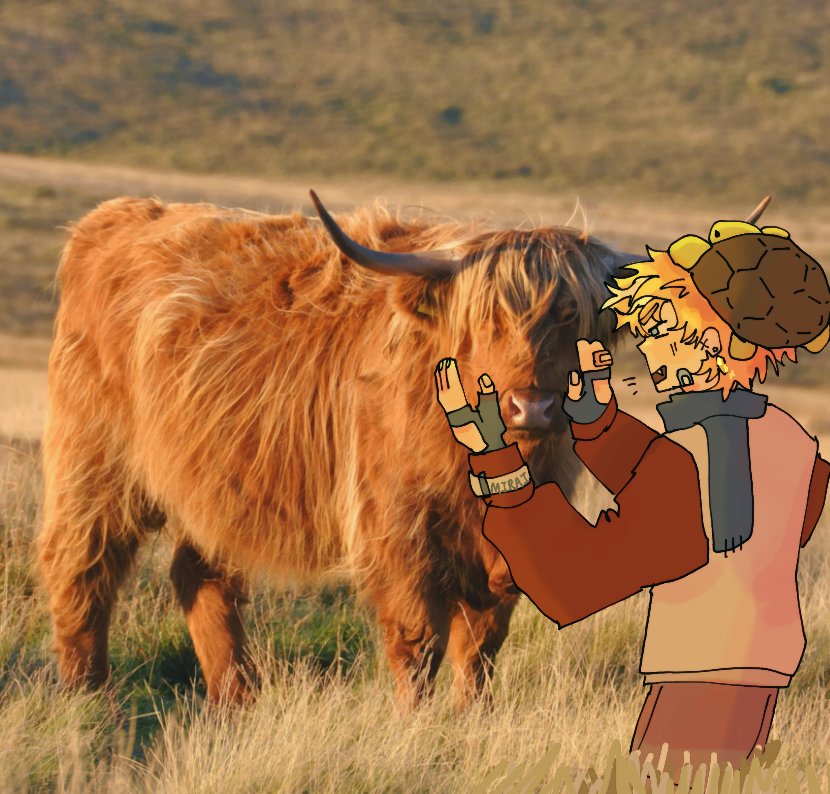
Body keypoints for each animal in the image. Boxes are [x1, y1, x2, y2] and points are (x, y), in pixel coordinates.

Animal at [37, 192, 629, 708]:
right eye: (485, 322)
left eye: (573, 318)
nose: (532, 406)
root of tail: (115, 216)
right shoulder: (395, 531)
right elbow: (419, 641)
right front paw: (414, 725)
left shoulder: (505, 553)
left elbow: (480, 645)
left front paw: (471, 719)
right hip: (94, 462)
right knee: (81, 568)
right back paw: (89, 698)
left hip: (208, 481)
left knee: (200, 577)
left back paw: (237, 701)